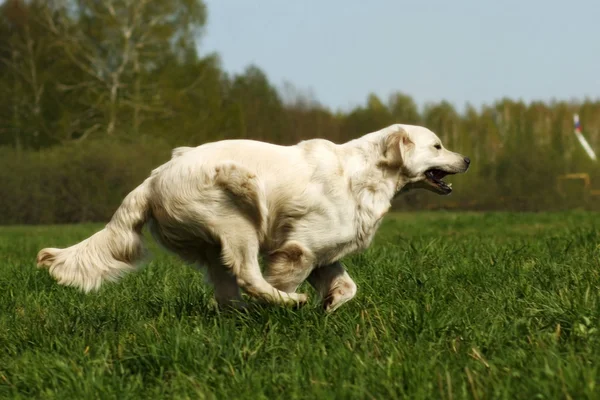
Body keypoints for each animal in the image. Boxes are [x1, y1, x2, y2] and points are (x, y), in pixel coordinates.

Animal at [36, 123, 468, 310]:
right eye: (437, 145)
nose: (466, 159)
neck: (365, 175)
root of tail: (154, 177)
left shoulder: (324, 255)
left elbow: (347, 288)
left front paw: (328, 306)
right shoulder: (300, 248)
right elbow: (281, 277)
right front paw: (289, 306)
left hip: (215, 247)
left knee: (228, 294)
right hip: (236, 214)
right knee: (247, 276)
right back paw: (283, 303)